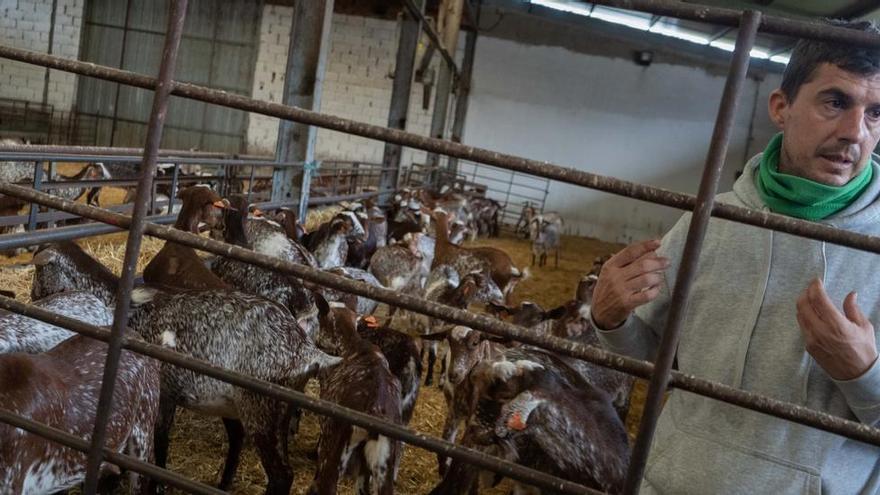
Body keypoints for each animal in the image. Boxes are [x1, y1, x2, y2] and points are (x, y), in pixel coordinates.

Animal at [129, 286, 342, 495]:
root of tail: (306, 350)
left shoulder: (163, 394)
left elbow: (159, 441)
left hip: (260, 413)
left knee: (282, 475)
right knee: (239, 439)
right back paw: (223, 484)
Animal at [310, 298, 402, 495]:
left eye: (319, 316)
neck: (350, 345)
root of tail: (375, 410)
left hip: (335, 450)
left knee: (323, 486)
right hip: (382, 466)